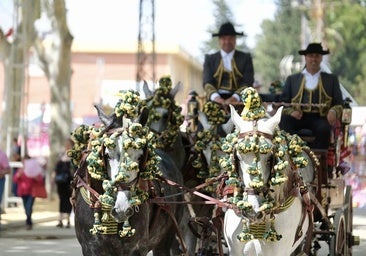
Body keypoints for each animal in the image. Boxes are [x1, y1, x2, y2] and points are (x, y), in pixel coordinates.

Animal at [70, 89, 186, 254]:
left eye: (140, 156)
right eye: (107, 154)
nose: (122, 208)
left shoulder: (136, 249)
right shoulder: (90, 248)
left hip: (166, 238)